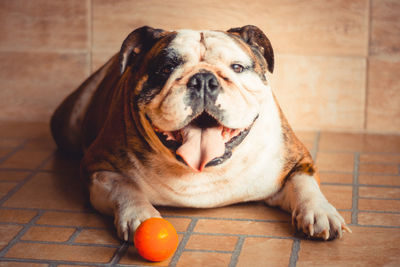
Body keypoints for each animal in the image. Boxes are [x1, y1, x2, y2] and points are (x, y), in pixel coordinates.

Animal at [50, 25, 350, 243]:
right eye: (166, 68)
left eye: (237, 68)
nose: (204, 79)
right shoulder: (98, 167)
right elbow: (125, 187)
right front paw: (141, 216)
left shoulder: (297, 160)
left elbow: (304, 183)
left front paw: (319, 212)